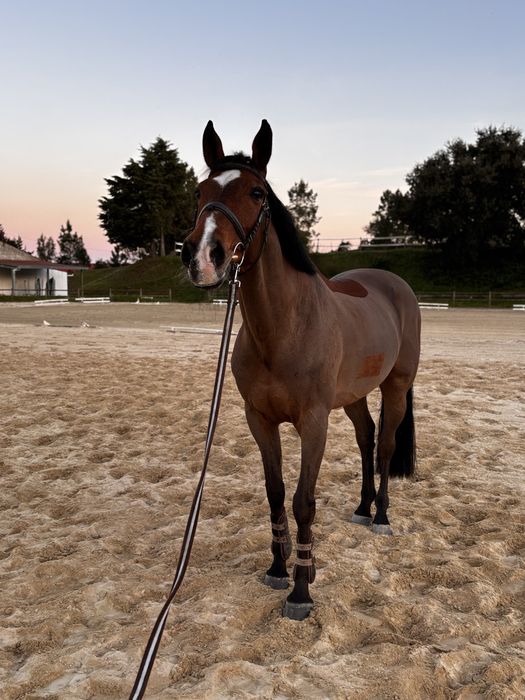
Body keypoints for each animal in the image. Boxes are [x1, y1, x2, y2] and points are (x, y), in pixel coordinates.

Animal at [181, 120, 421, 620]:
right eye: (199, 191)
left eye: (256, 192)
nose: (201, 256)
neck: (283, 328)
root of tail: (393, 284)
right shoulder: (260, 420)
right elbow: (275, 492)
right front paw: (277, 567)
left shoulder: (313, 422)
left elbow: (303, 501)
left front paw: (301, 589)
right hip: (352, 397)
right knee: (366, 438)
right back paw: (363, 508)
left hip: (395, 386)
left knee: (386, 447)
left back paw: (381, 516)